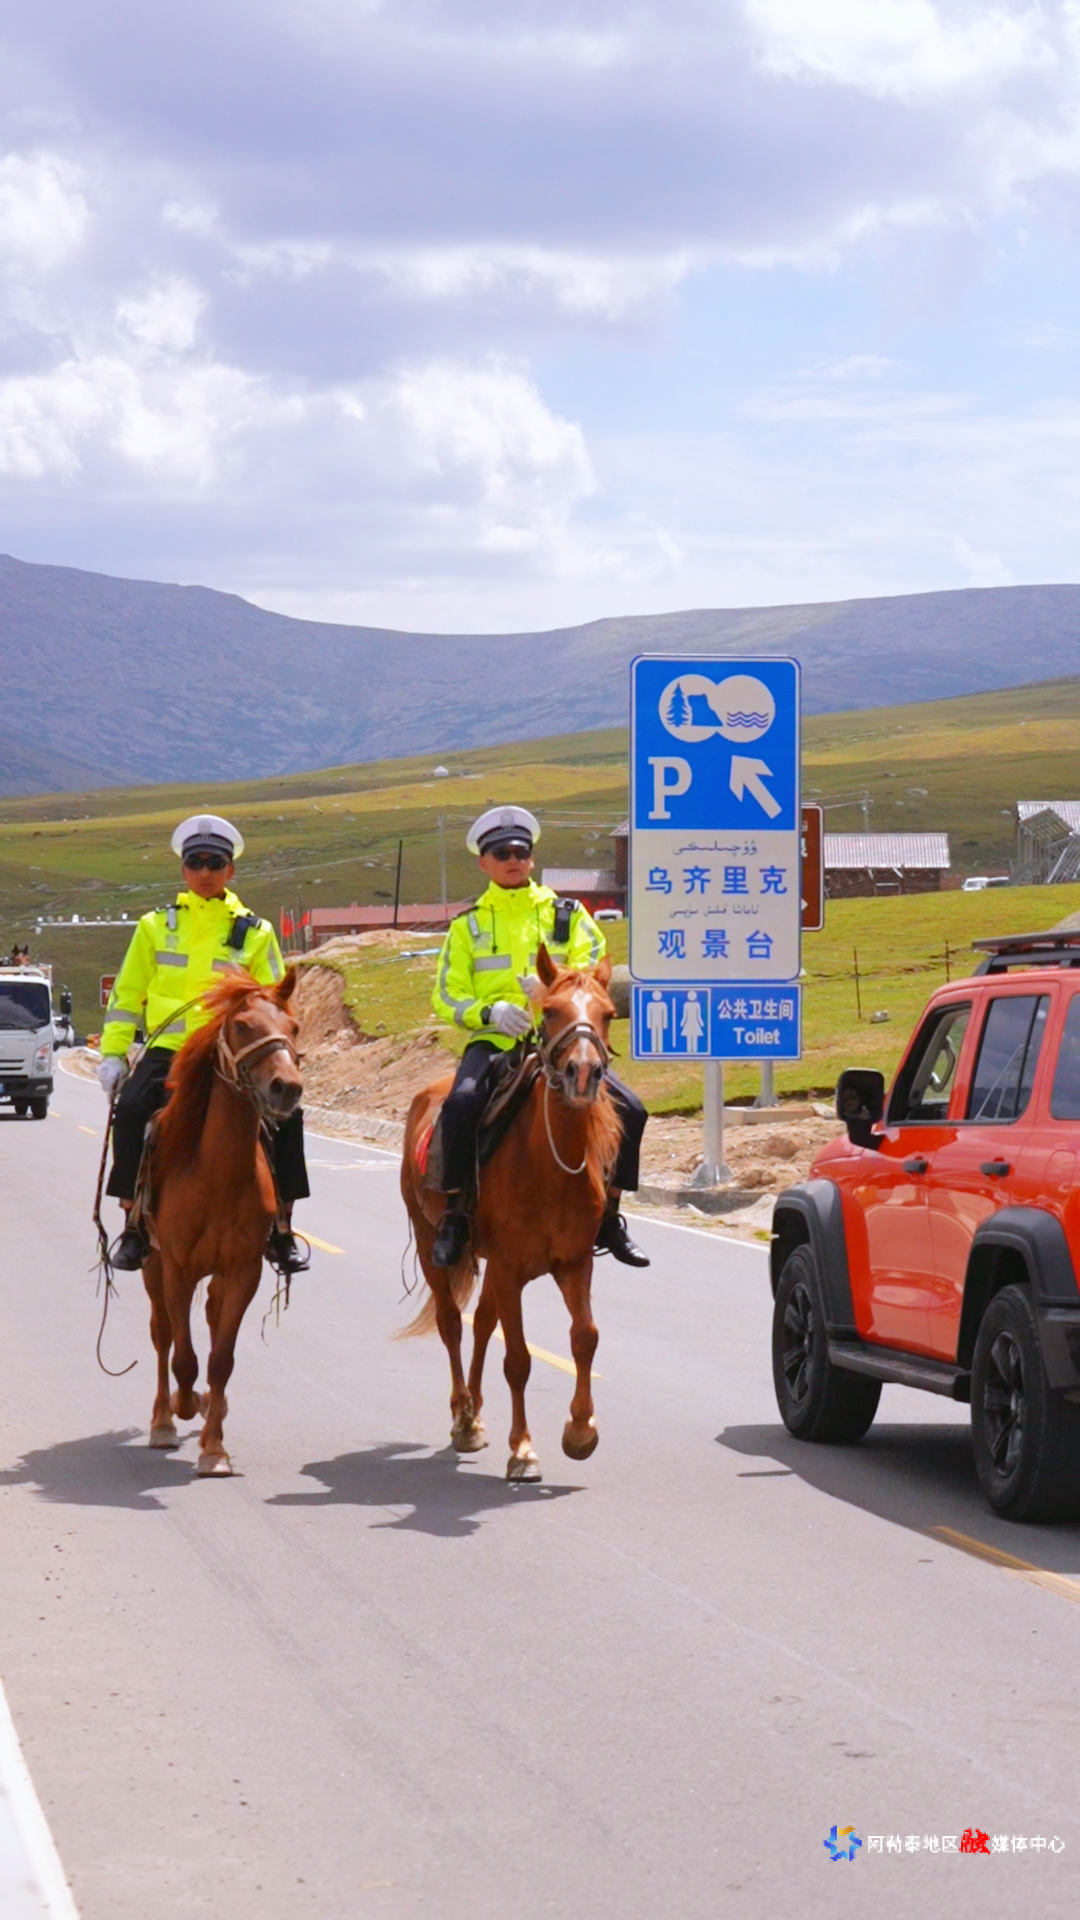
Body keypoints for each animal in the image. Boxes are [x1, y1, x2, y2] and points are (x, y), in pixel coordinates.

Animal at [140, 969, 302, 1476]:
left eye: (294, 1027)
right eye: (243, 1026)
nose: (287, 1087)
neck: (218, 1173)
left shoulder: (243, 1271)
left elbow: (220, 1360)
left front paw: (214, 1447)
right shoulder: (176, 1269)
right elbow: (184, 1360)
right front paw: (184, 1407)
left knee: (208, 1318)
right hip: (151, 1265)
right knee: (162, 1336)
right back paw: (163, 1420)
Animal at [400, 945, 622, 1482]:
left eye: (608, 1013)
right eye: (551, 1011)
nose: (584, 1074)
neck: (549, 1164)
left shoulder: (573, 1263)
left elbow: (584, 1338)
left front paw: (580, 1430)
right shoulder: (508, 1268)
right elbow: (518, 1360)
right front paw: (523, 1449)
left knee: (481, 1323)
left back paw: (475, 1413)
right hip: (431, 1242)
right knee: (452, 1324)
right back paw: (463, 1417)